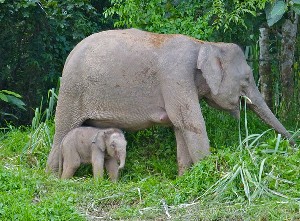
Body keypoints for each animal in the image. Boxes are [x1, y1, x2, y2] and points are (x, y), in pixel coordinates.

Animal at [46, 28, 292, 175]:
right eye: (247, 78)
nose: (292, 144)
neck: (206, 44)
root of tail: (69, 55)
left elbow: (179, 127)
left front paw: (184, 178)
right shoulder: (176, 77)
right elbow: (192, 123)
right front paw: (210, 174)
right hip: (72, 91)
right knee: (63, 128)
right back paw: (52, 178)